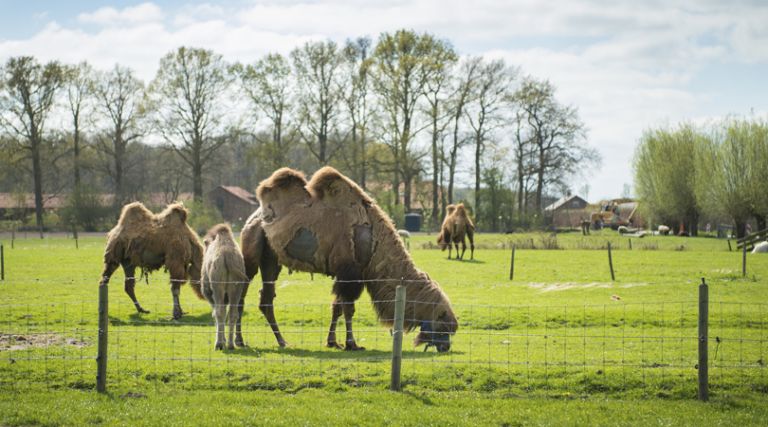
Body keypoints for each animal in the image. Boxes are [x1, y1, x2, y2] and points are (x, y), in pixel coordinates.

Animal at [201, 224, 249, 352]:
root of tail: (227, 255)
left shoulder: (209, 292)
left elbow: (214, 314)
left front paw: (222, 341)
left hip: (217, 283)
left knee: (219, 311)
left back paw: (218, 344)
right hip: (237, 283)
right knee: (233, 313)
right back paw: (231, 345)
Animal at [240, 167, 456, 352]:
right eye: (444, 326)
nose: (446, 347)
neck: (373, 241)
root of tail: (253, 216)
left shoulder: (344, 274)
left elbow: (337, 307)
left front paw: (332, 342)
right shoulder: (350, 273)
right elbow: (348, 310)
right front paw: (352, 344)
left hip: (270, 260)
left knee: (266, 299)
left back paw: (282, 341)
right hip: (252, 249)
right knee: (241, 292)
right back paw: (240, 341)